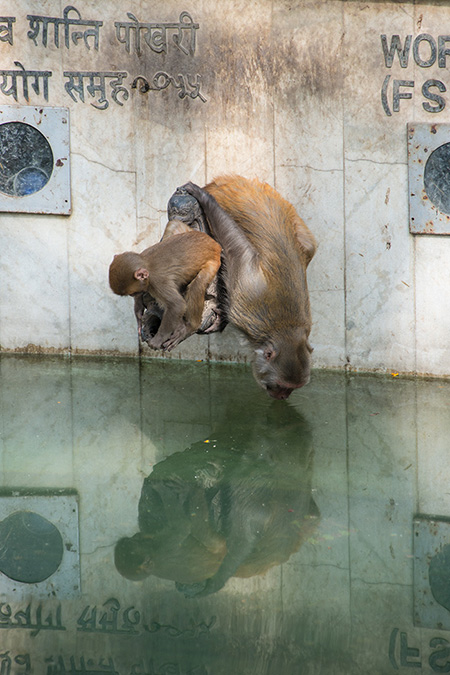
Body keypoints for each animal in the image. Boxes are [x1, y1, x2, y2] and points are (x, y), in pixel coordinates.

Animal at [109, 224, 221, 354]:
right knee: (173, 226)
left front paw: (158, 340)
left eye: (133, 293)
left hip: (213, 262)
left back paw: (190, 327)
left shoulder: (158, 282)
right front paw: (138, 308)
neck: (146, 263)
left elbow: (177, 305)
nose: (134, 295)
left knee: (198, 284)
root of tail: (213, 243)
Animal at [182, 177, 316, 402]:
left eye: (292, 388)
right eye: (282, 386)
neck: (284, 328)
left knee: (309, 247)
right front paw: (203, 197)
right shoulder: (248, 300)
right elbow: (236, 248)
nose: (283, 397)